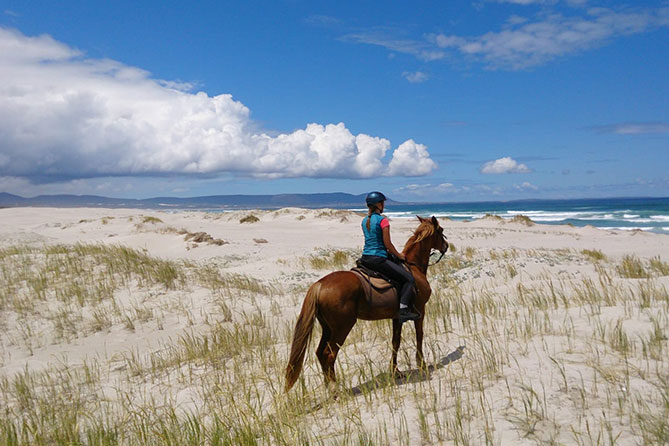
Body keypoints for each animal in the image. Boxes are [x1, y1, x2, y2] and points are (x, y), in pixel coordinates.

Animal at [284, 214, 446, 392]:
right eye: (441, 230)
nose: (446, 246)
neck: (413, 267)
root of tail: (319, 285)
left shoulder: (397, 317)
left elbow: (395, 342)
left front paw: (396, 372)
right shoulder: (420, 311)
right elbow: (419, 336)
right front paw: (421, 364)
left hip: (327, 327)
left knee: (320, 352)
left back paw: (328, 386)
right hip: (343, 327)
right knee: (329, 354)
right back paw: (335, 390)